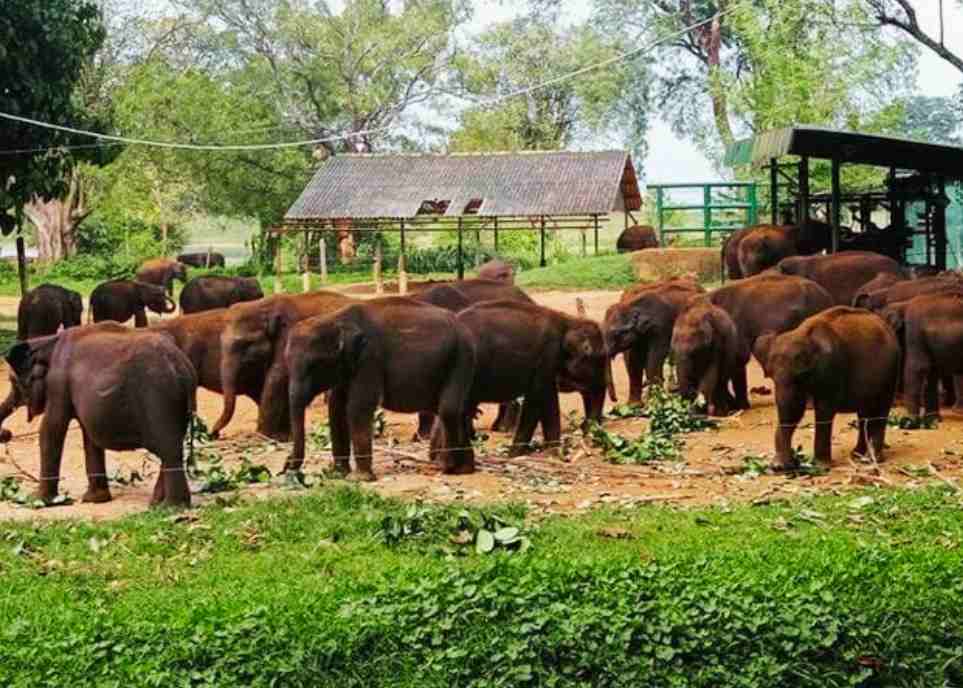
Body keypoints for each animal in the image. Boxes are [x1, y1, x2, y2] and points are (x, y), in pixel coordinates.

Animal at [0, 323, 197, 506]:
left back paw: (171, 507)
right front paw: (94, 499)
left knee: (169, 450)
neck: (49, 341)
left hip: (160, 398)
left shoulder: (58, 382)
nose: (7, 433)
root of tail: (182, 365)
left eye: (12, 381)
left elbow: (51, 429)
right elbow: (89, 437)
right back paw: (156, 504)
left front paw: (36, 500)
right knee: (171, 448)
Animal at [212, 291, 354, 440]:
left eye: (246, 343)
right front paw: (284, 435)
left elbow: (277, 377)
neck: (264, 305)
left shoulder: (290, 332)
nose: (214, 434)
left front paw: (263, 435)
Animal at [284, 298, 476, 479]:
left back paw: (446, 467)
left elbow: (358, 407)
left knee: (448, 410)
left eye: (314, 366)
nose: (286, 466)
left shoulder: (370, 359)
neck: (336, 318)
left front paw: (359, 478)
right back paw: (463, 470)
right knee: (458, 412)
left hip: (460, 360)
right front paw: (338, 473)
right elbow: (336, 407)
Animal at [444, 299, 614, 457]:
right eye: (600, 358)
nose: (589, 435)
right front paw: (528, 453)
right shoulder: (546, 357)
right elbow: (541, 398)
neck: (568, 321)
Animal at [753, 307, 899, 471]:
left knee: (881, 409)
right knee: (864, 413)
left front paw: (820, 466)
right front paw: (779, 466)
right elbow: (794, 410)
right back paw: (857, 454)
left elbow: (824, 409)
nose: (778, 466)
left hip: (891, 370)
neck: (802, 333)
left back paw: (870, 459)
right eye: (771, 376)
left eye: (800, 376)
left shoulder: (830, 368)